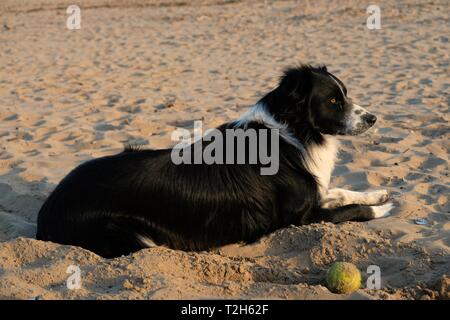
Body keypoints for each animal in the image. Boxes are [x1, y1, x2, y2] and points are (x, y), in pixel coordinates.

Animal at [36, 64, 394, 258]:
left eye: (345, 94)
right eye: (333, 101)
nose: (373, 118)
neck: (291, 131)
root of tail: (47, 208)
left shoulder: (314, 194)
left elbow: (341, 192)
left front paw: (378, 194)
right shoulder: (298, 219)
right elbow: (349, 211)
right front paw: (382, 209)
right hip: (129, 234)